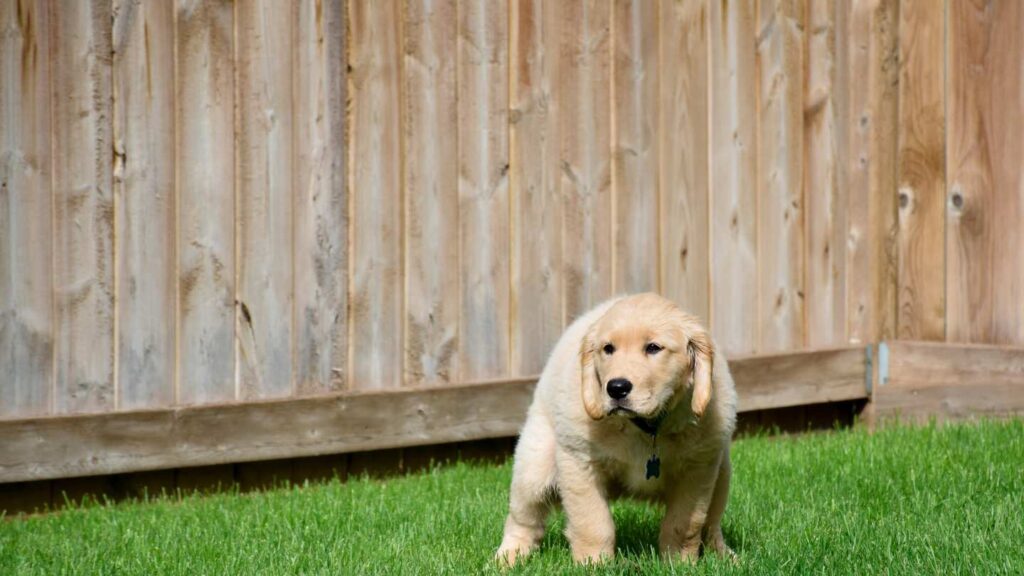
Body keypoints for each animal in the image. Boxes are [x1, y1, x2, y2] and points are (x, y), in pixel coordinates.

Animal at [495, 293, 737, 561]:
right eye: (608, 349)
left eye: (653, 348)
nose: (616, 388)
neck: (645, 428)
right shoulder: (579, 461)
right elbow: (593, 523)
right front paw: (593, 562)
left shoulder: (699, 469)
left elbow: (685, 524)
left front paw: (679, 562)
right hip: (534, 467)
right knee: (523, 519)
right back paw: (508, 558)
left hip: (722, 473)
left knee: (712, 524)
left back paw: (724, 555)